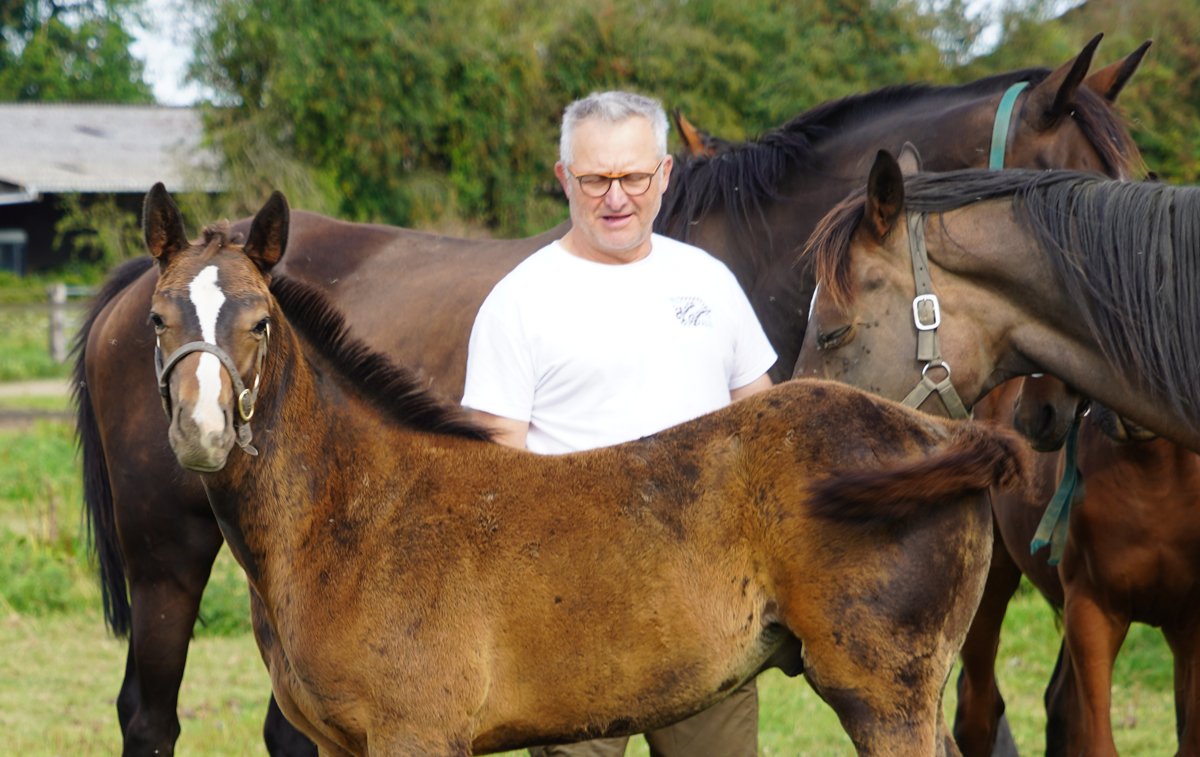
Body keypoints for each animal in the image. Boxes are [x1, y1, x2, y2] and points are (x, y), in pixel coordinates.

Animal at [143, 182, 1034, 756]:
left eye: (259, 320)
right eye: (156, 318)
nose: (201, 431)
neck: (354, 514)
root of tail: (933, 432)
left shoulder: (417, 731)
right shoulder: (338, 744)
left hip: (886, 696)